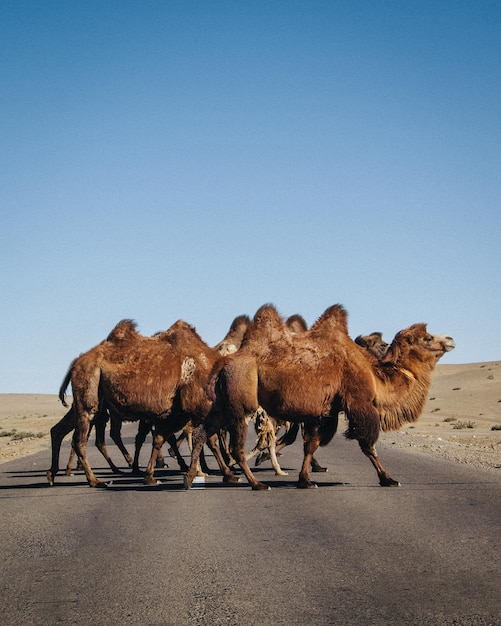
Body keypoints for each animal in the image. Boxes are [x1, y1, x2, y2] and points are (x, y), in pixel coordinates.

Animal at [187, 302, 454, 488]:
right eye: (428, 337)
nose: (451, 339)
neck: (373, 373)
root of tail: (223, 363)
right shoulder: (359, 403)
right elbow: (368, 445)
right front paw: (388, 479)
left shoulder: (325, 411)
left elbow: (311, 445)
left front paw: (305, 480)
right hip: (241, 404)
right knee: (234, 446)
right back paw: (255, 483)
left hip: (223, 404)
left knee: (204, 433)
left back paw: (194, 477)